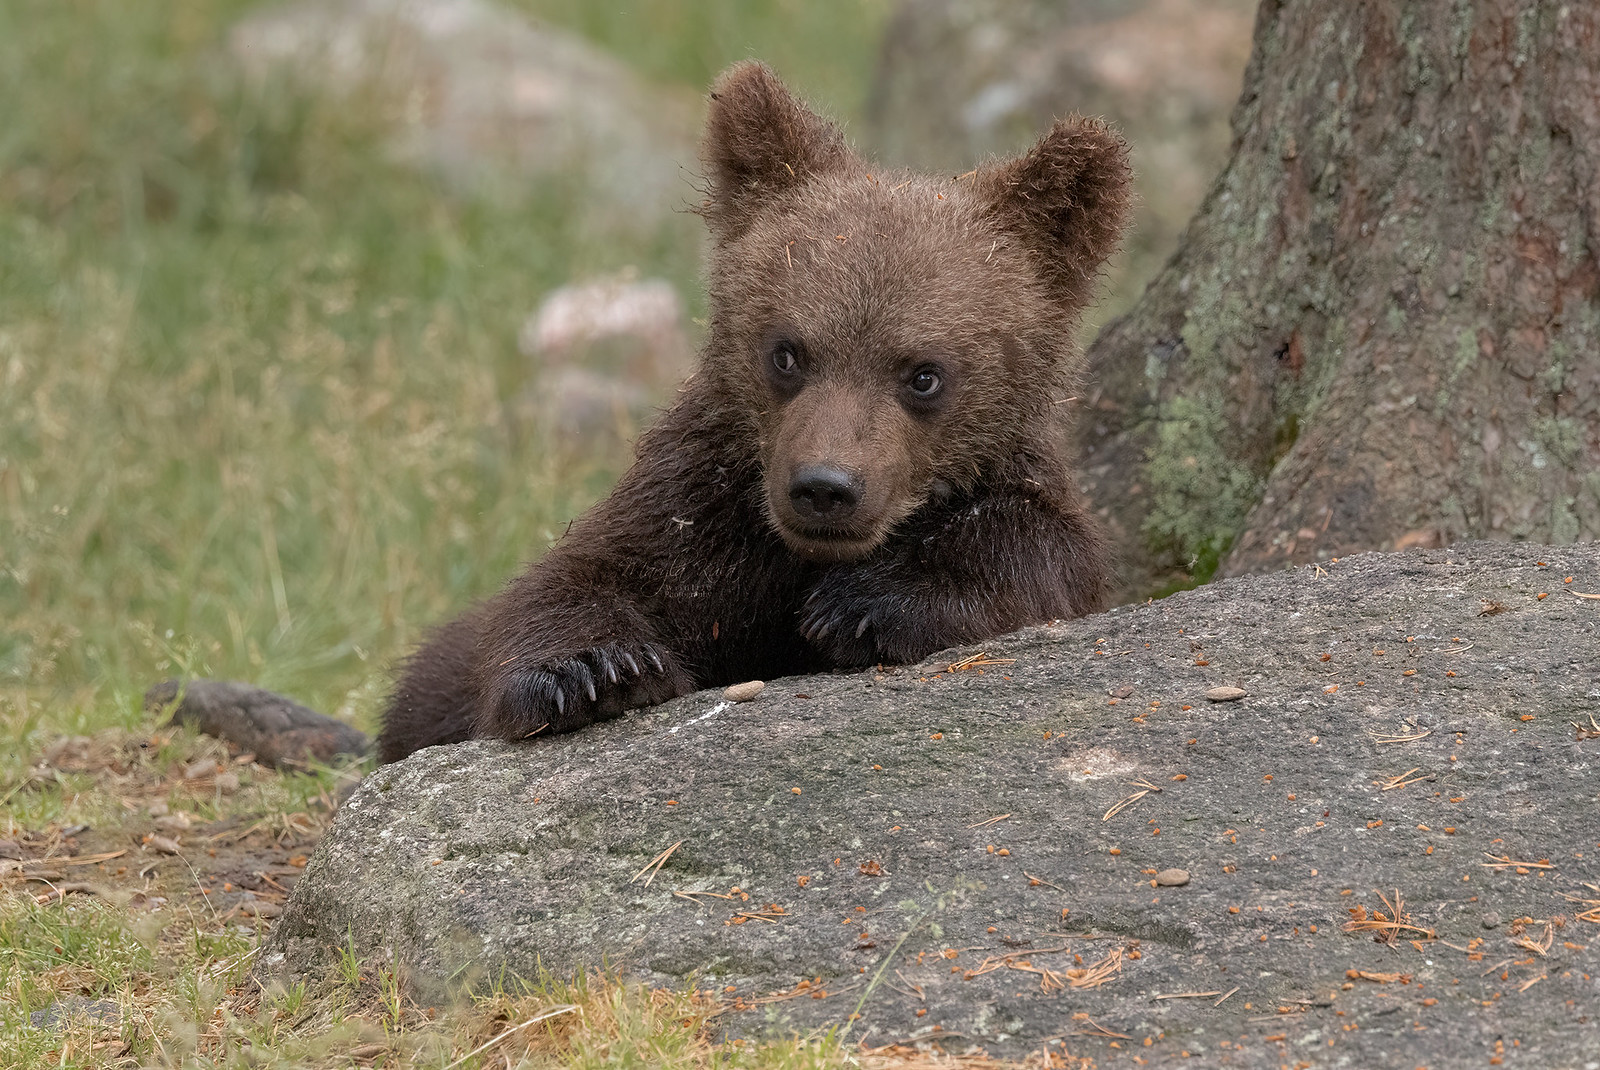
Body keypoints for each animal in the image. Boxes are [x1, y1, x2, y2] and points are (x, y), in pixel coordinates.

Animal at [376, 61, 1131, 764]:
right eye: (787, 352)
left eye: (923, 374)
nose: (824, 487)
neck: (796, 559)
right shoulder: (701, 509)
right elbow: (575, 579)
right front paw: (588, 670)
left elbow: (1031, 550)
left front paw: (859, 607)